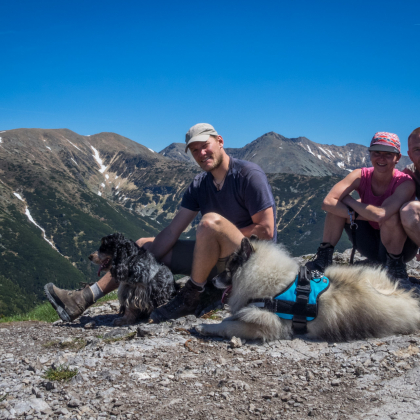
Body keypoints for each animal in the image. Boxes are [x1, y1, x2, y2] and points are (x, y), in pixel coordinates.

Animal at [197, 236, 420, 342]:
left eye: (228, 270)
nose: (212, 281)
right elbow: (228, 320)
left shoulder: (263, 324)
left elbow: (227, 326)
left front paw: (204, 327)